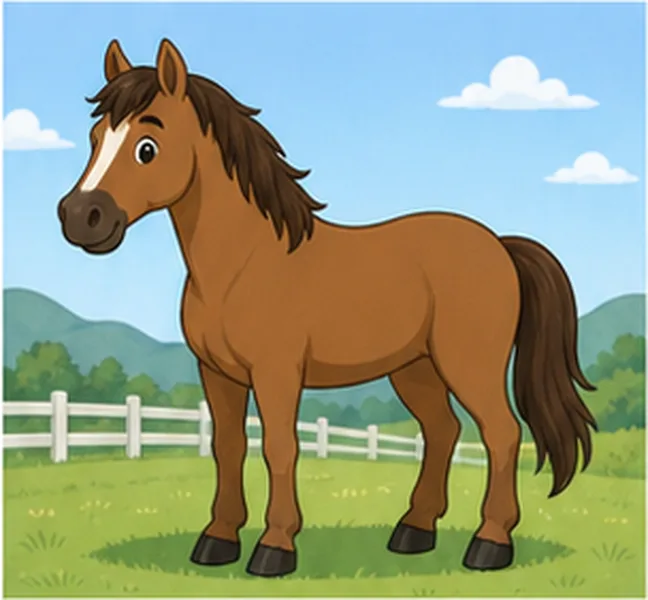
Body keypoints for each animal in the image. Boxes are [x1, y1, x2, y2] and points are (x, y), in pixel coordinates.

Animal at [57, 38, 597, 578]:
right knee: (443, 431)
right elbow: (227, 447)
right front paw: (217, 540)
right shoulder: (218, 373)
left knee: (501, 433)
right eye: (95, 137)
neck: (244, 262)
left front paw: (275, 548)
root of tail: (500, 245)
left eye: (147, 147)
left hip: (469, 365)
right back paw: (414, 531)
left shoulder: (276, 373)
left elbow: (279, 448)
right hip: (415, 368)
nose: (81, 217)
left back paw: (489, 544)